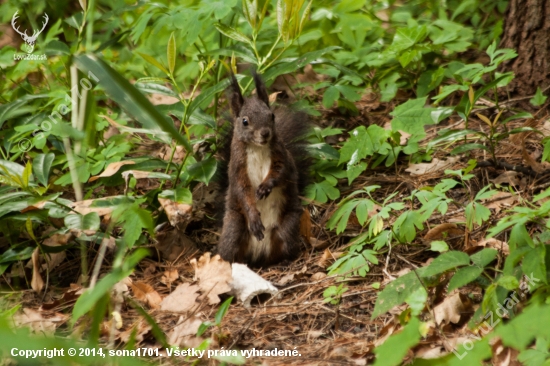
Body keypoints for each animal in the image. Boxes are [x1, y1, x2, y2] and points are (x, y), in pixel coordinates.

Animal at [218, 72, 310, 266]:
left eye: (272, 116)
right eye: (245, 121)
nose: (265, 133)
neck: (257, 147)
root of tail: (258, 256)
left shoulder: (281, 157)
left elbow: (280, 172)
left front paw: (265, 187)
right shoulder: (237, 167)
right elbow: (242, 190)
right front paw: (254, 216)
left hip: (287, 228)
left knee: (285, 246)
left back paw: (284, 262)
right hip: (233, 229)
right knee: (229, 249)